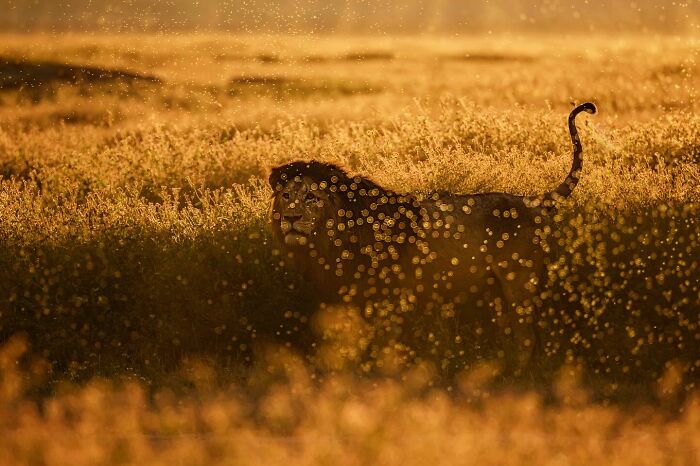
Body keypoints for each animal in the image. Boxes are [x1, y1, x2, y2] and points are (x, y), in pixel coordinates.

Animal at [269, 103, 597, 366]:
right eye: (286, 196)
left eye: (311, 197)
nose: (291, 219)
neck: (329, 238)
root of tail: (530, 201)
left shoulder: (383, 294)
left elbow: (382, 339)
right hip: (498, 291)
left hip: (519, 284)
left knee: (528, 336)